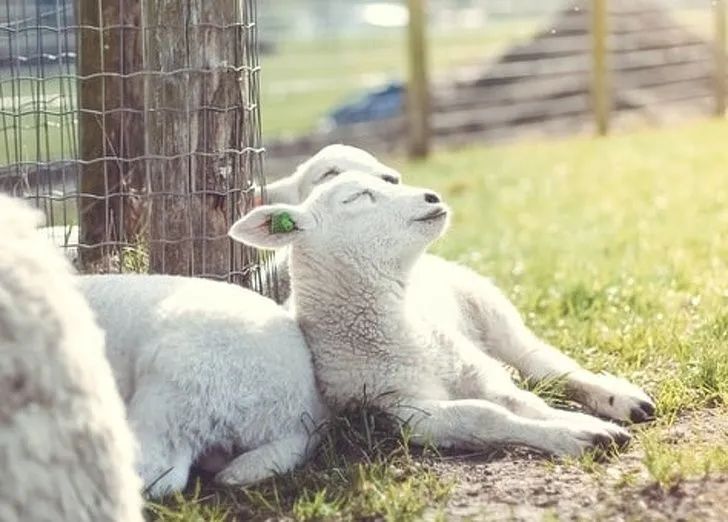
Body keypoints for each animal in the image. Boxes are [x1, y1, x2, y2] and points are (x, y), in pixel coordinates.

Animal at [232, 172, 644, 456]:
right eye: (356, 197)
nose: (432, 196)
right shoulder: (399, 410)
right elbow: (485, 415)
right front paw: (579, 435)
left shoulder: (475, 368)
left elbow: (522, 402)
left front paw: (579, 423)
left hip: (487, 305)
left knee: (544, 364)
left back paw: (621, 399)